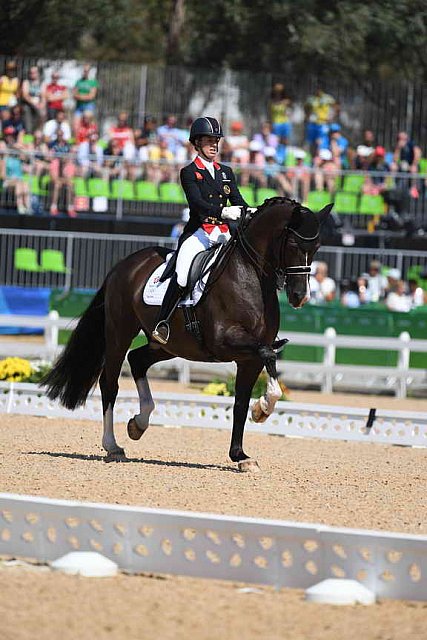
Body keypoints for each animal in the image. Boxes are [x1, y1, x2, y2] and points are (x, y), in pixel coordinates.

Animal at [41, 198, 334, 472]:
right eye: (294, 245)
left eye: (317, 247)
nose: (300, 297)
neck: (250, 274)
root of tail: (124, 265)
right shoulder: (226, 342)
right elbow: (268, 354)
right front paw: (261, 411)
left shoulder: (248, 359)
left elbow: (241, 401)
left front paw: (241, 454)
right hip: (119, 332)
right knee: (109, 383)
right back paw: (113, 446)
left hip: (168, 345)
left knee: (137, 360)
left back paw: (139, 423)